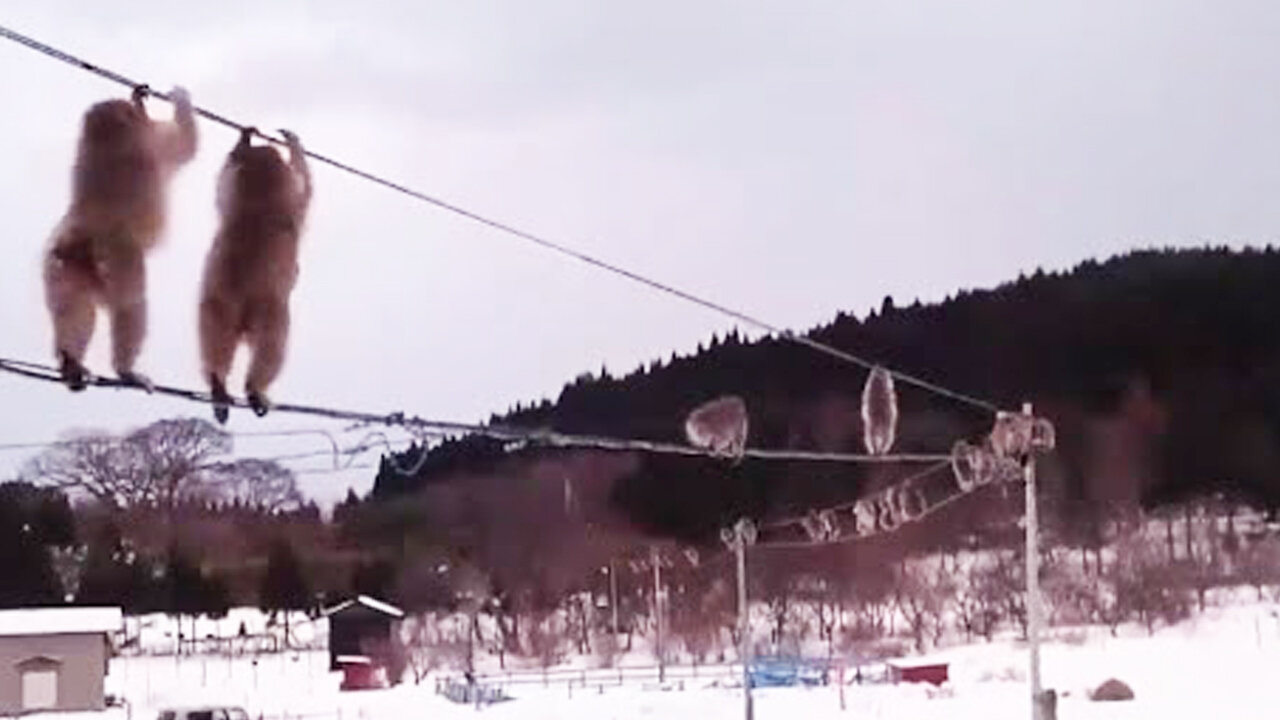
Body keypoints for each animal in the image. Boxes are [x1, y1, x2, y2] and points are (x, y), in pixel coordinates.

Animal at [42, 86, 198, 389]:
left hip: (57, 267)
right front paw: (179, 98)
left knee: (74, 309)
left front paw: (140, 99)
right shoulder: (155, 143)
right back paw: (125, 369)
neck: (106, 135)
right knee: (131, 304)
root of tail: (78, 237)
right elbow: (187, 144)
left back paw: (70, 362)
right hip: (119, 253)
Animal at [198, 126, 313, 422]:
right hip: (272, 312)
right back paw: (255, 390)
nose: (260, 146)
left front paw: (243, 140)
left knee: (213, 341)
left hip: (216, 305)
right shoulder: (292, 204)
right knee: (272, 348)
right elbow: (305, 187)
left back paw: (218, 386)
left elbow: (222, 184)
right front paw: (292, 143)